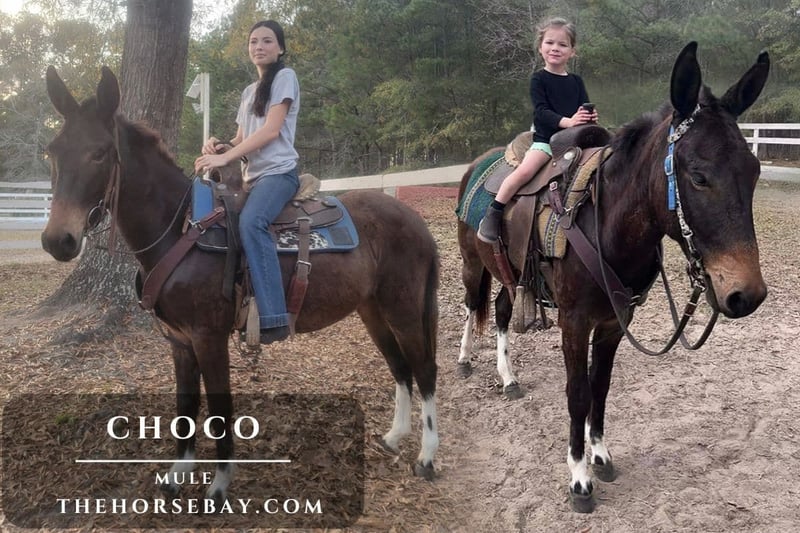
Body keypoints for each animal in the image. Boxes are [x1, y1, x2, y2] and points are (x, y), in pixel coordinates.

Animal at [41, 66, 440, 504]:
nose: (57, 240)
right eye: (53, 151)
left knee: (424, 369)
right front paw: (178, 474)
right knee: (400, 367)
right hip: (372, 310)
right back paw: (394, 436)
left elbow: (218, 408)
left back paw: (426, 457)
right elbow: (185, 407)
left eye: (99, 152)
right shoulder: (180, 342)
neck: (182, 229)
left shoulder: (208, 337)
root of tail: (414, 219)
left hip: (404, 309)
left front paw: (219, 484)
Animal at [457, 42, 769, 512]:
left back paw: (508, 378)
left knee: (501, 310)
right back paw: (463, 359)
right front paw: (579, 478)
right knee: (472, 304)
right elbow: (578, 393)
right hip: (473, 263)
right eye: (698, 176)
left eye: (754, 171)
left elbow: (600, 387)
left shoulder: (613, 324)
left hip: (509, 274)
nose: (745, 293)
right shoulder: (573, 323)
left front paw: (600, 455)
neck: (604, 224)